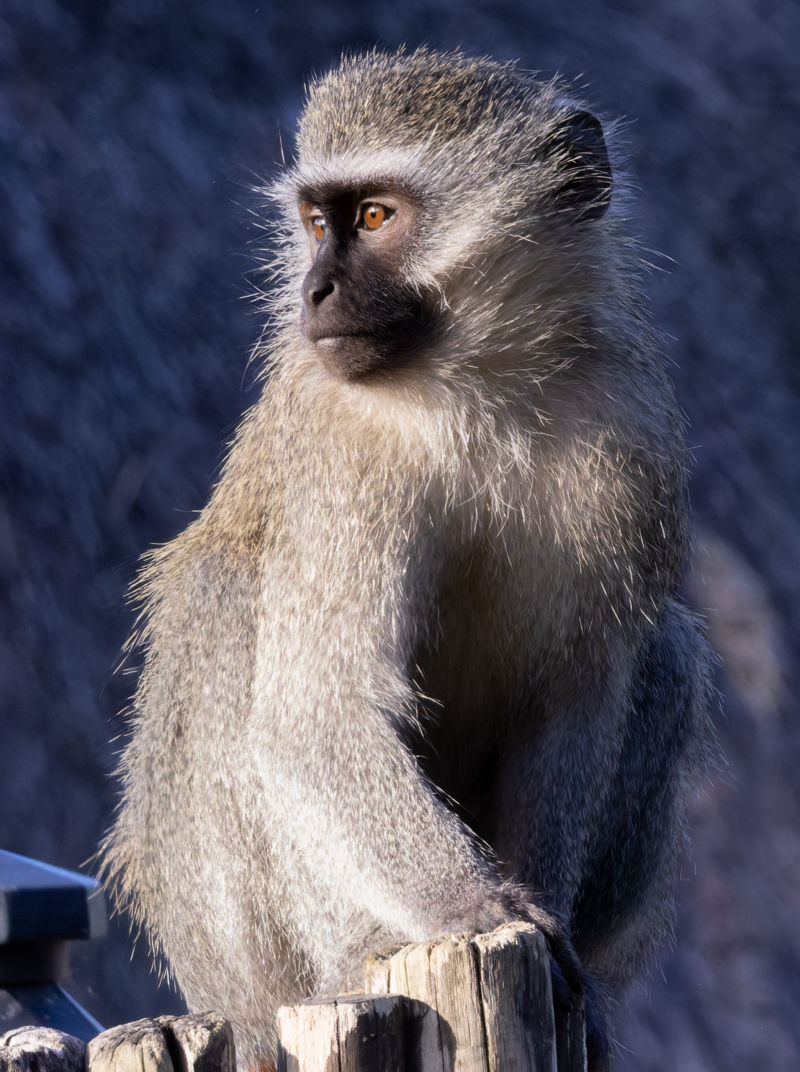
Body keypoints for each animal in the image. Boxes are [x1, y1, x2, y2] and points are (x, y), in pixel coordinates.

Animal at [101, 48, 713, 1072]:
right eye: (318, 222)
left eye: (378, 217)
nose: (313, 293)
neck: (482, 387)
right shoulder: (343, 448)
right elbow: (314, 718)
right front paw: (486, 912)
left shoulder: (625, 428)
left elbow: (571, 698)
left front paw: (543, 929)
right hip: (250, 966)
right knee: (229, 608)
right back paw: (366, 948)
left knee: (665, 651)